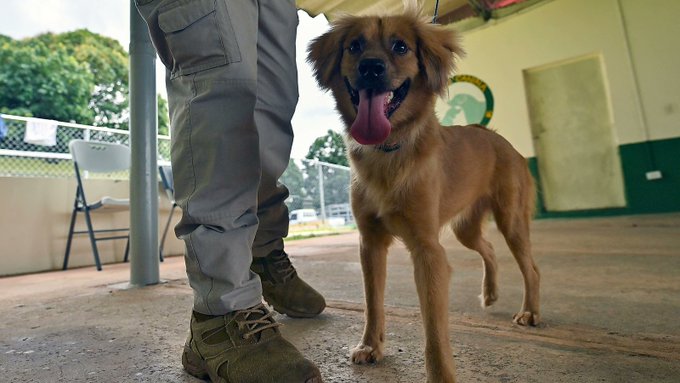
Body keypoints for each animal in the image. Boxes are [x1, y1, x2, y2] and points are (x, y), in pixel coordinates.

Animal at [310, 6, 540, 383]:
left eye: (401, 46)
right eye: (354, 46)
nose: (371, 67)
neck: (388, 152)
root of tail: (502, 140)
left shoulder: (428, 250)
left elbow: (433, 327)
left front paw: (441, 374)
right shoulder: (370, 243)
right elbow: (373, 302)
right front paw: (371, 346)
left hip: (511, 220)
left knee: (530, 268)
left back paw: (531, 311)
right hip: (465, 229)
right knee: (489, 249)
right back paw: (490, 292)